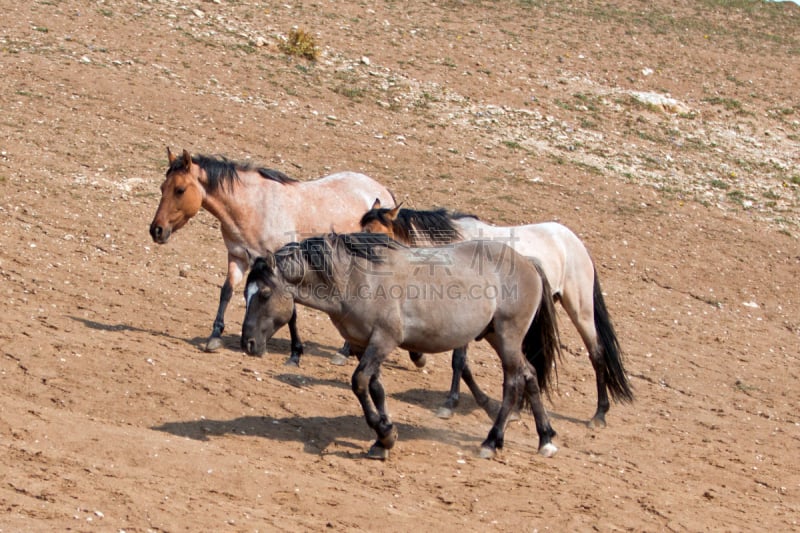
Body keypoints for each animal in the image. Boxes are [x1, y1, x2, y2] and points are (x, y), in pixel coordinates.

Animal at [242, 235, 564, 460]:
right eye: (246, 293)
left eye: (265, 293)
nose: (248, 343)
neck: (357, 279)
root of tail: (527, 262)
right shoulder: (363, 344)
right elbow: (375, 388)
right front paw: (382, 439)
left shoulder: (384, 340)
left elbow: (359, 382)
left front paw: (385, 434)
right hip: (496, 335)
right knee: (529, 373)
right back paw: (545, 439)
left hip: (508, 336)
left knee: (513, 382)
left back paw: (491, 441)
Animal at [360, 200, 636, 428]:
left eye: (375, 233)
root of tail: (573, 241)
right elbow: (464, 364)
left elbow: (459, 361)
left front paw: (450, 404)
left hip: (580, 310)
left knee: (596, 353)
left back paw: (599, 415)